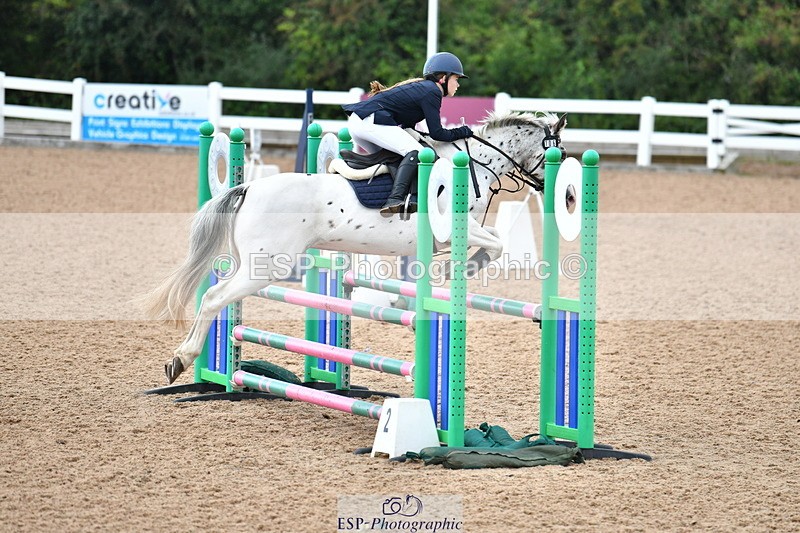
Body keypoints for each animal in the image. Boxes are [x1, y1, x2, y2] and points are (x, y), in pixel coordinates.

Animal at [146, 110, 567, 383]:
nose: (563, 195)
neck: (474, 165)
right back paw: (181, 360)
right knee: (214, 298)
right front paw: (450, 268)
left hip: (248, 261)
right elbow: (494, 245)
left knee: (215, 294)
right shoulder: (455, 229)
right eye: (557, 151)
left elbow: (492, 244)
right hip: (266, 267)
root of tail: (248, 186)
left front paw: (446, 271)